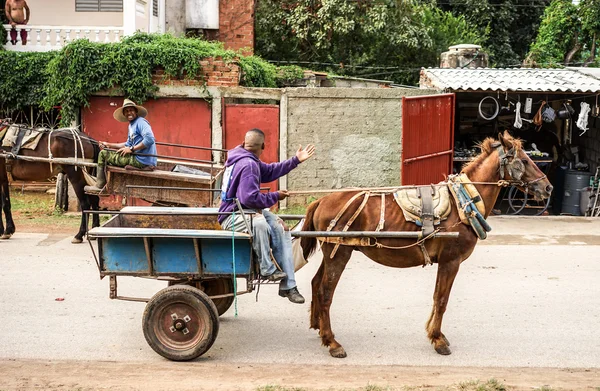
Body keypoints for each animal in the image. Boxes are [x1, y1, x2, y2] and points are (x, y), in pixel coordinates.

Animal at [300, 132, 552, 358]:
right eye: (524, 160)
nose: (548, 187)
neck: (463, 202)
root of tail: (321, 200)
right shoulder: (451, 261)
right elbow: (442, 299)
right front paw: (438, 340)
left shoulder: (446, 262)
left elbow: (436, 297)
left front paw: (434, 334)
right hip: (339, 253)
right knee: (325, 292)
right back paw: (332, 342)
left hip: (332, 251)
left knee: (315, 283)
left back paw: (320, 329)